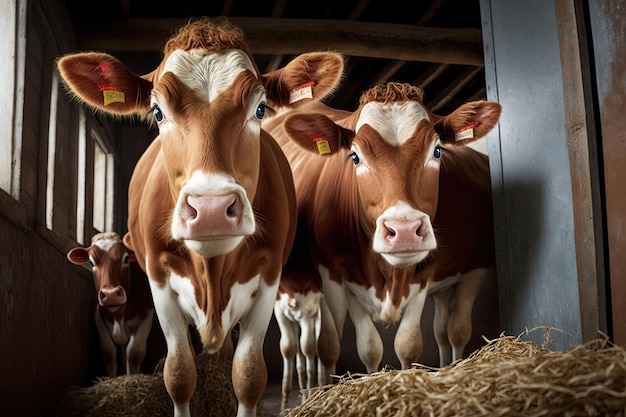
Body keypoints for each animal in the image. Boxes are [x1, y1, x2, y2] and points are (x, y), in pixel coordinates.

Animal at [66, 232, 155, 376]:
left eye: (126, 259)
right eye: (91, 262)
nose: (111, 294)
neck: (119, 315)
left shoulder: (148, 313)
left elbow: (134, 352)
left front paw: (130, 377)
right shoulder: (97, 313)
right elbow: (108, 351)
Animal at [260, 82, 500, 376]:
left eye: (437, 151)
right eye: (354, 157)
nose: (405, 229)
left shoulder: (425, 278)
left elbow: (408, 345)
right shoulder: (333, 279)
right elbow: (362, 348)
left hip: (474, 270)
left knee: (454, 330)